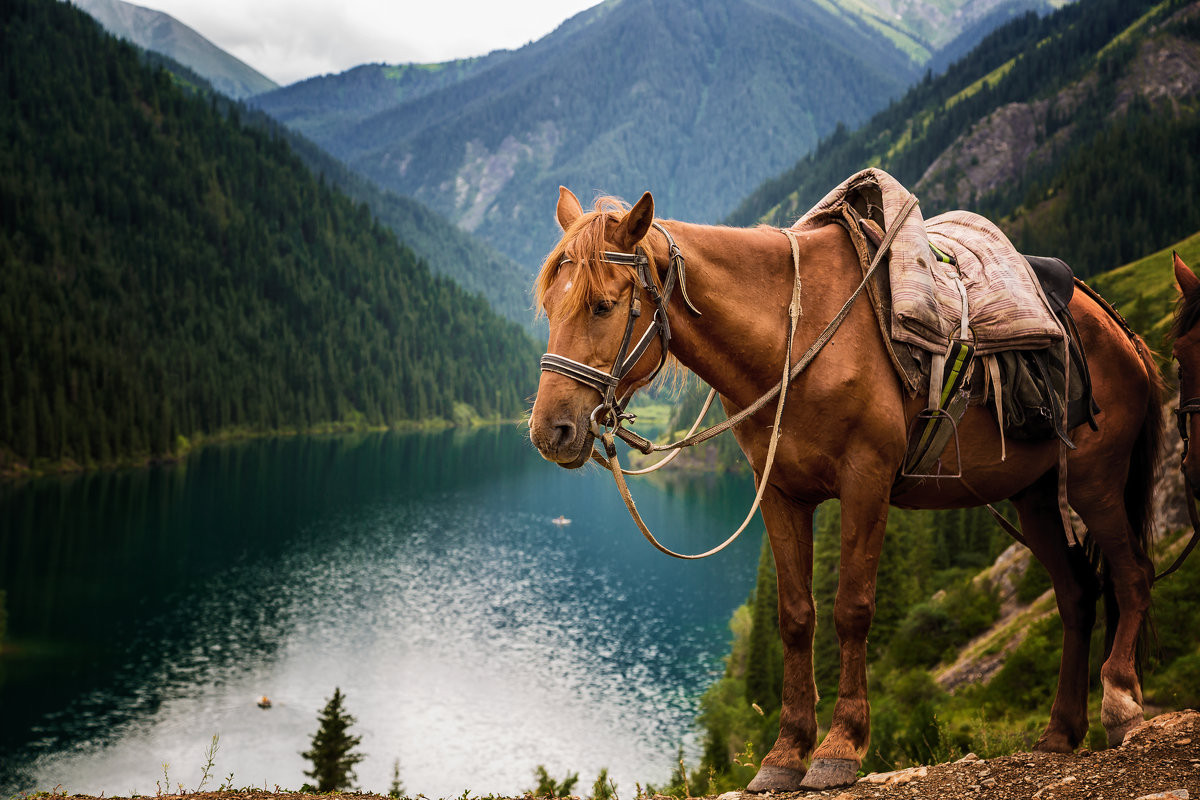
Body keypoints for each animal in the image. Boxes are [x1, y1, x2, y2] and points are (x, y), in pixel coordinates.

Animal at [525, 189, 1161, 796]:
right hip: (1034, 496)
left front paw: (839, 748)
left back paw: (1121, 704)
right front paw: (784, 755)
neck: (796, 336)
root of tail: (1116, 326)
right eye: (550, 306)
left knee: (1131, 575)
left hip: (1096, 480)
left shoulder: (866, 483)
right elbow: (795, 616)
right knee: (1076, 594)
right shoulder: (779, 494)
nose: (549, 431)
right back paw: (1060, 731)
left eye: (603, 305)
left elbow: (851, 610)